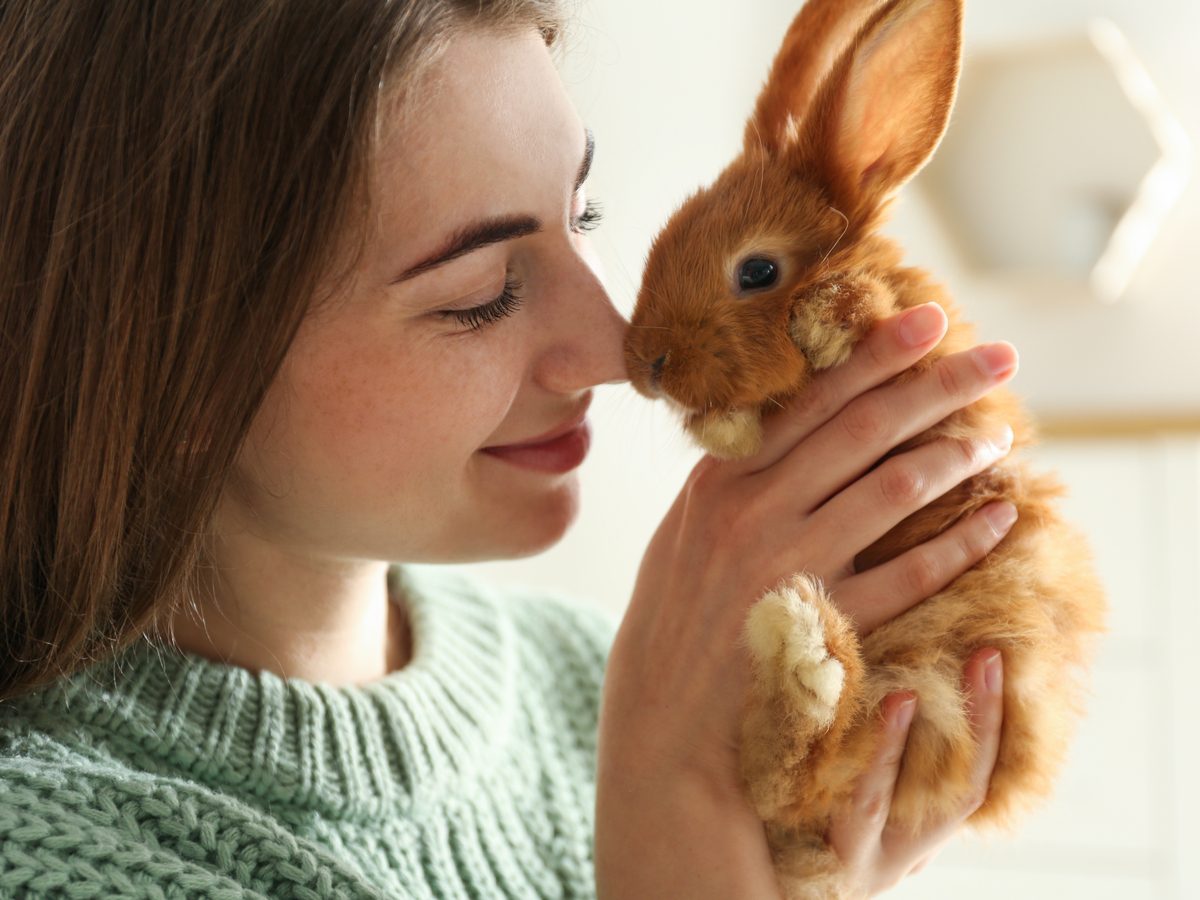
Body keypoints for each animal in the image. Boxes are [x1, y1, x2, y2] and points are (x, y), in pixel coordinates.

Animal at [624, 0, 1108, 897]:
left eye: (757, 270)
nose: (645, 365)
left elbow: (859, 310)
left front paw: (821, 319)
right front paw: (726, 424)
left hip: (935, 688)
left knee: (803, 768)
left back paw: (804, 652)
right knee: (785, 775)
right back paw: (805, 651)